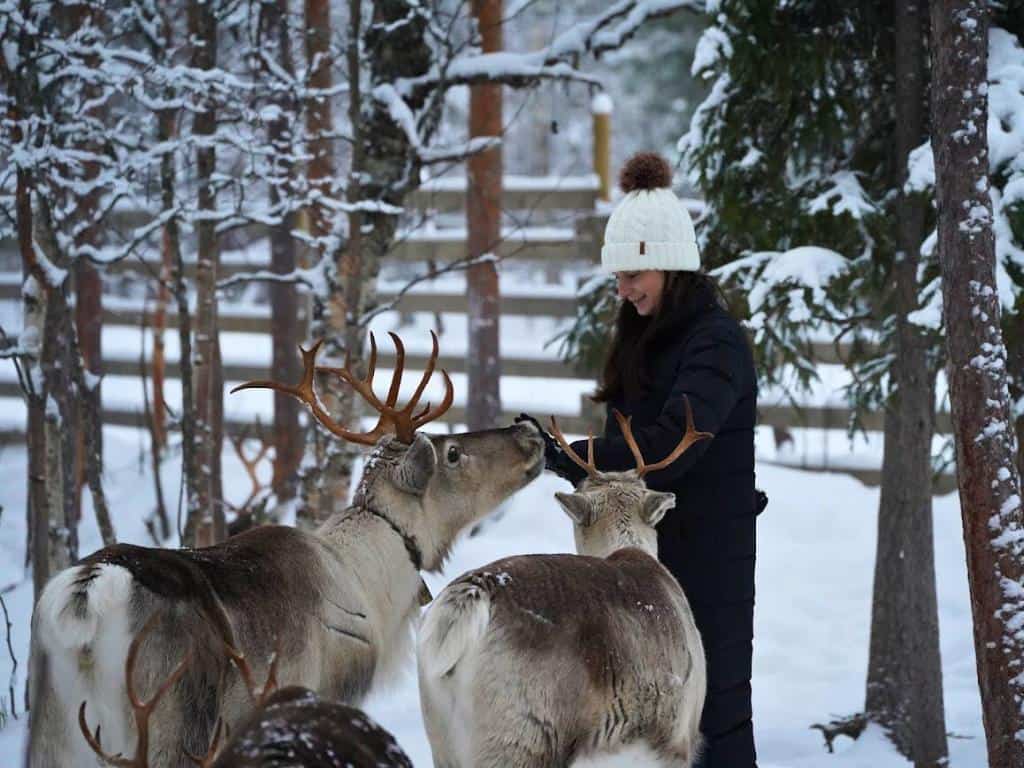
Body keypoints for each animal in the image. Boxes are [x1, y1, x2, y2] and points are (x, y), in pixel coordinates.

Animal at [27, 331, 544, 768]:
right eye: (452, 453)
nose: (530, 433)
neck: (370, 583)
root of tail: (88, 591)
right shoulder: (326, 690)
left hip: (53, 735)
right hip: (170, 721)